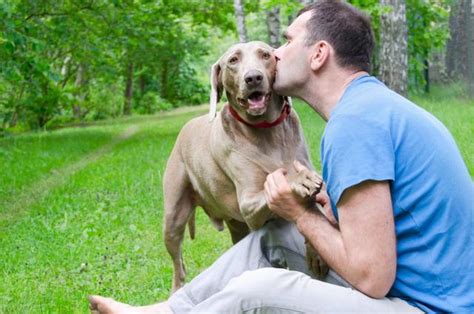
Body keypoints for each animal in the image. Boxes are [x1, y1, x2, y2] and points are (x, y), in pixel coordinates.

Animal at [163, 41, 326, 292]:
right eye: (233, 60)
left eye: (266, 55)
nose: (253, 77)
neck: (267, 130)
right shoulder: (249, 205)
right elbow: (283, 182)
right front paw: (299, 179)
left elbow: (313, 210)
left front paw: (316, 253)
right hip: (173, 217)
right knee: (178, 266)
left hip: (237, 226)